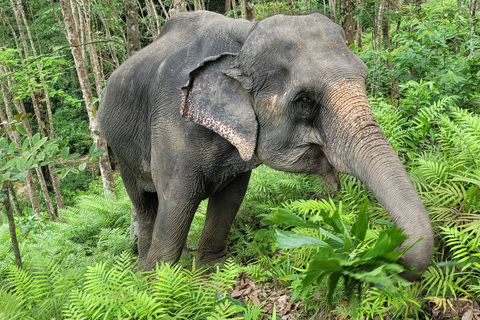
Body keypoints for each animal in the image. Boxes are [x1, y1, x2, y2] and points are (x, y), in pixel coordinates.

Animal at [98, 10, 436, 280]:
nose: (392, 253)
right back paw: (141, 271)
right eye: (304, 100)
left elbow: (230, 198)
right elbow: (177, 203)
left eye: (364, 78)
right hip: (119, 149)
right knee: (145, 205)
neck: (245, 35)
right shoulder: (171, 125)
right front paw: (161, 285)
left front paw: (213, 271)